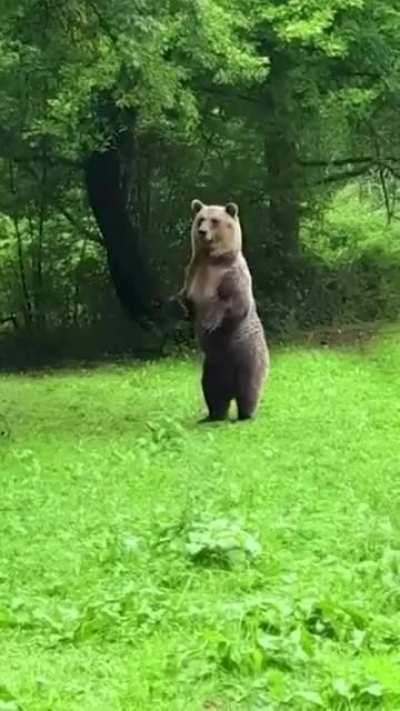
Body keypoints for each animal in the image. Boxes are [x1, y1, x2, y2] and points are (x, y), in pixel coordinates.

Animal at [179, 199, 269, 422]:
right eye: (201, 218)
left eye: (215, 220)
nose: (202, 231)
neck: (212, 260)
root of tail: (231, 389)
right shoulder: (193, 273)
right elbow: (187, 298)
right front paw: (185, 310)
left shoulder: (231, 275)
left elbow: (235, 305)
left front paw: (210, 321)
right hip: (212, 367)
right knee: (213, 392)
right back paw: (212, 416)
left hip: (246, 356)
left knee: (249, 388)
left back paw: (246, 414)